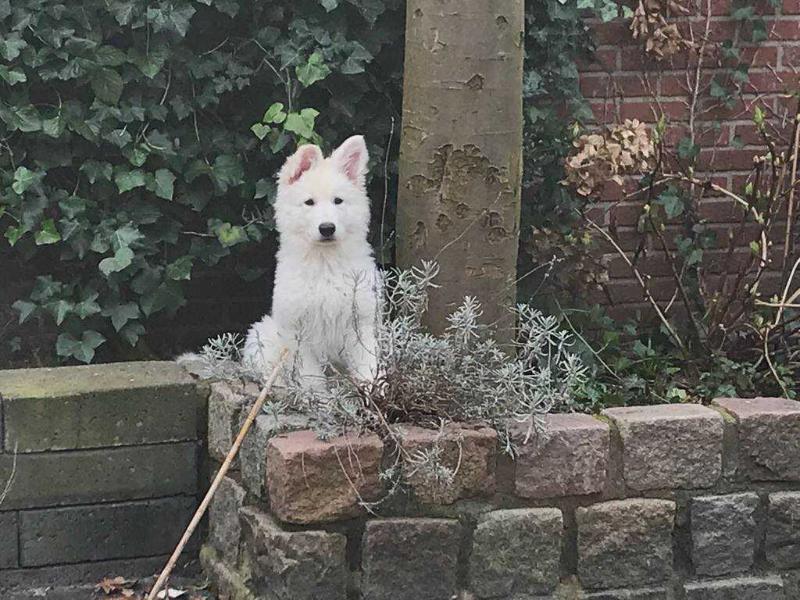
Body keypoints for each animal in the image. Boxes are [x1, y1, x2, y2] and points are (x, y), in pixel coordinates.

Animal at [241, 135, 382, 390]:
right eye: (309, 202)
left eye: (338, 201)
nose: (327, 228)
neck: (325, 261)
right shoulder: (298, 332)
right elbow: (311, 378)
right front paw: (317, 397)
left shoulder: (363, 324)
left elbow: (369, 365)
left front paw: (376, 391)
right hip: (262, 336)